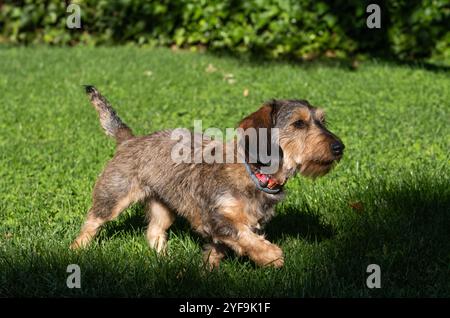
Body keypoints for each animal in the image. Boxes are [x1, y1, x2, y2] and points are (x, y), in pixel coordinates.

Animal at [71, 85, 344, 268]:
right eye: (299, 123)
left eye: (322, 121)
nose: (339, 147)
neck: (254, 172)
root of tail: (130, 140)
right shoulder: (217, 218)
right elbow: (246, 237)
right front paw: (271, 256)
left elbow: (219, 250)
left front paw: (207, 272)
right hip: (113, 197)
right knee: (91, 223)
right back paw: (75, 251)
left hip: (164, 207)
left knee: (154, 231)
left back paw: (164, 260)